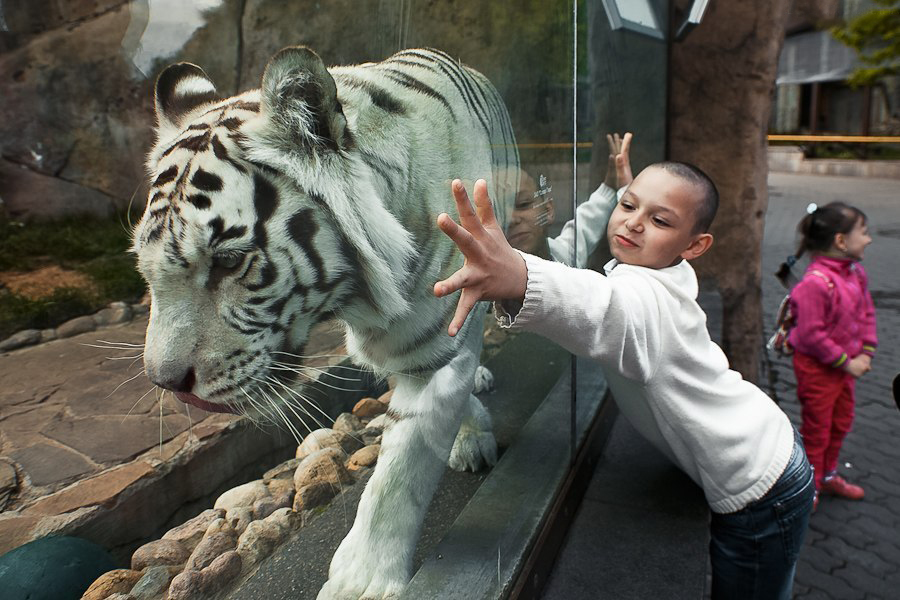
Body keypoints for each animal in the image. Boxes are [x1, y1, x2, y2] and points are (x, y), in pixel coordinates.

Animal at [130, 44, 516, 596]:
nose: (165, 382)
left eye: (228, 261)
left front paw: (362, 583)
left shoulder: (436, 350)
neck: (358, 299)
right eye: (146, 269)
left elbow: (399, 473)